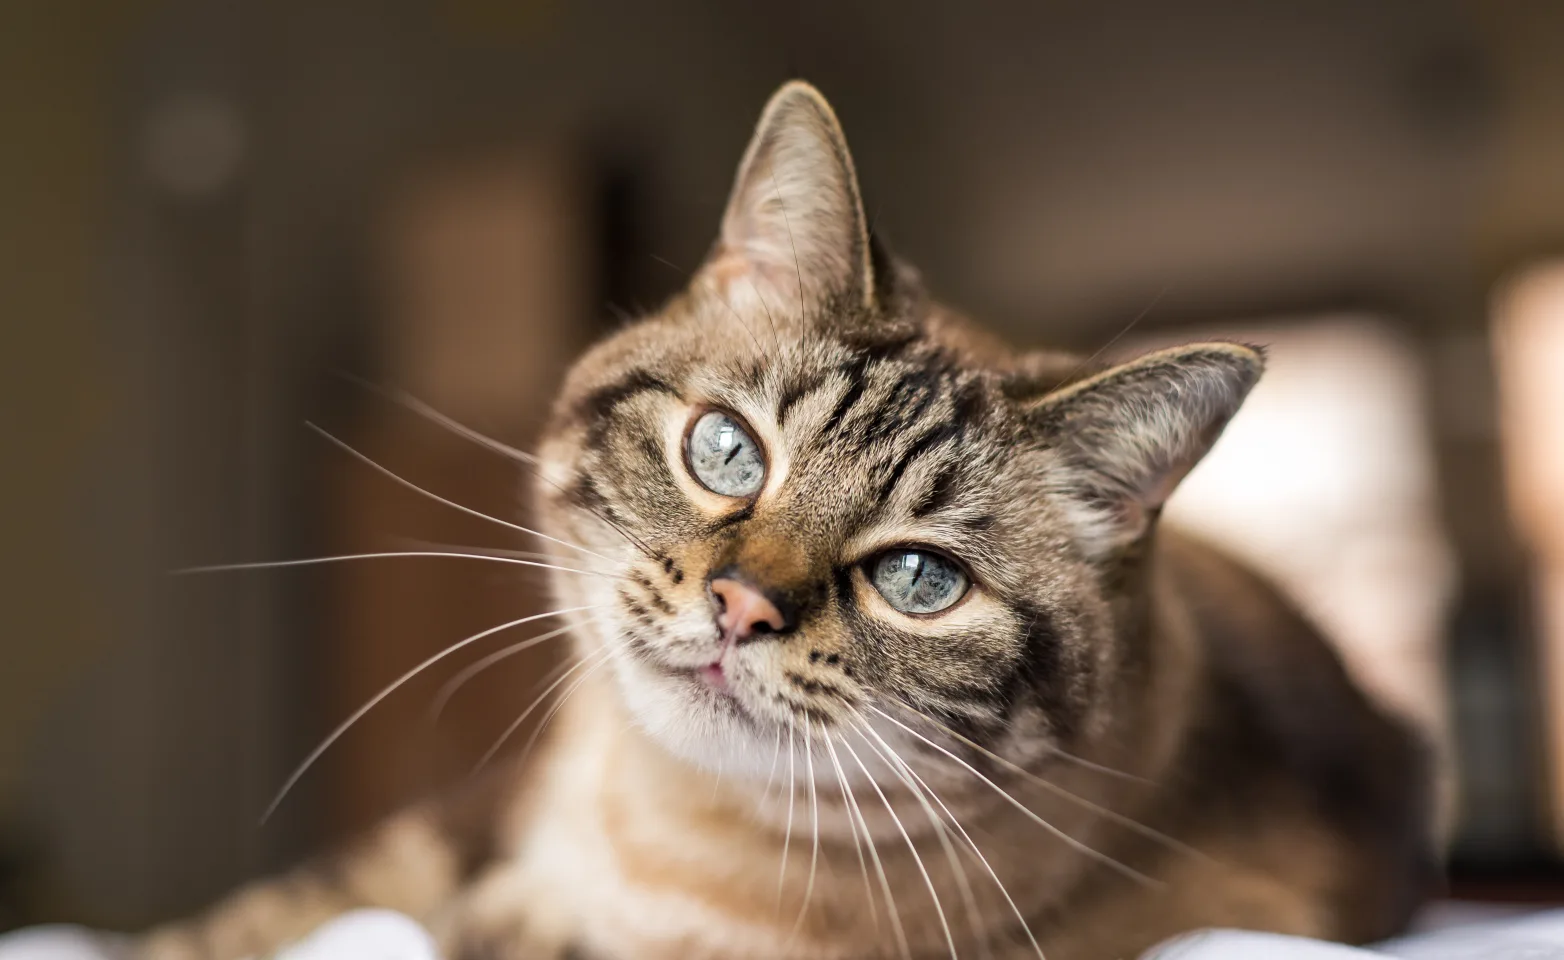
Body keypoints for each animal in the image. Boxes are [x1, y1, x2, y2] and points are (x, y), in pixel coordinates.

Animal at [140, 80, 1432, 960]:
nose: (740, 605)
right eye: (726, 452)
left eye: (917, 581)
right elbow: (249, 924)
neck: (656, 835)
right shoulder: (464, 825)